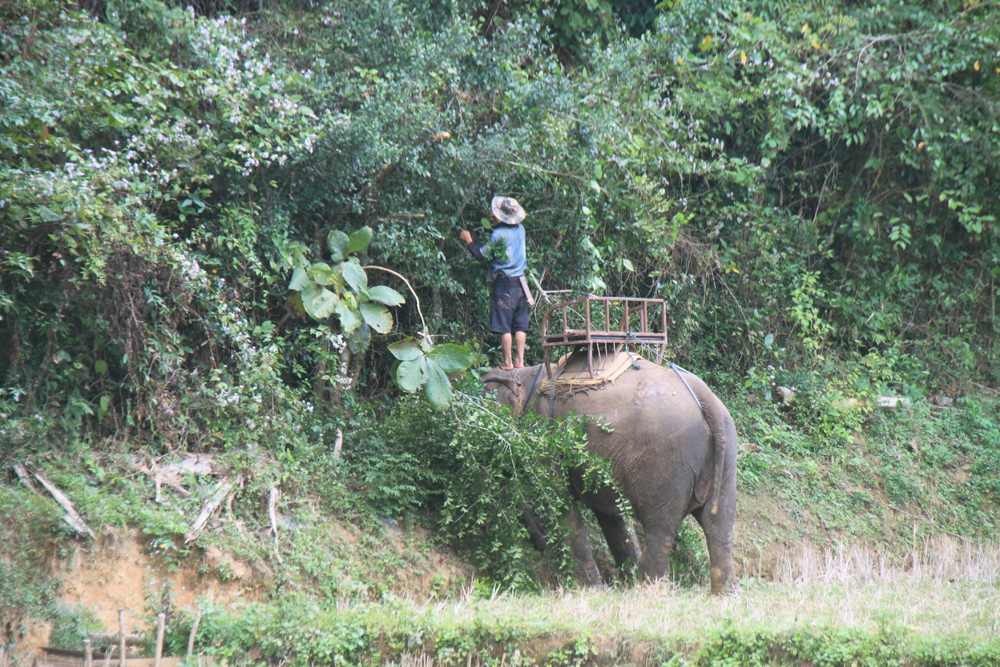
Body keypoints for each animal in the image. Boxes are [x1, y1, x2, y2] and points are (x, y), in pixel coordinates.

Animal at [481, 355, 738, 594]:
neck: (523, 375)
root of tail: (706, 397)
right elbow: (611, 512)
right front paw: (620, 582)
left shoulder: (546, 436)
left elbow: (559, 501)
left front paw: (589, 590)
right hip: (725, 455)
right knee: (719, 526)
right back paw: (725, 595)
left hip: (667, 461)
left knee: (661, 529)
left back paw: (648, 592)